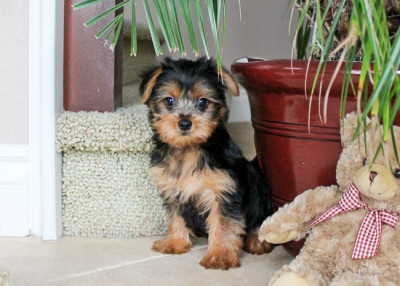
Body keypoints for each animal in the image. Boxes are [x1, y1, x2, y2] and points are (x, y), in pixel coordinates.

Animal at [139, 57, 274, 270]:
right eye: (169, 101)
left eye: (202, 102)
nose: (184, 123)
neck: (188, 149)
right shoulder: (172, 188)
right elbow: (175, 216)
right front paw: (176, 242)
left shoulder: (223, 192)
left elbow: (223, 225)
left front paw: (219, 255)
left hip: (259, 190)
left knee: (260, 218)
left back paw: (257, 241)